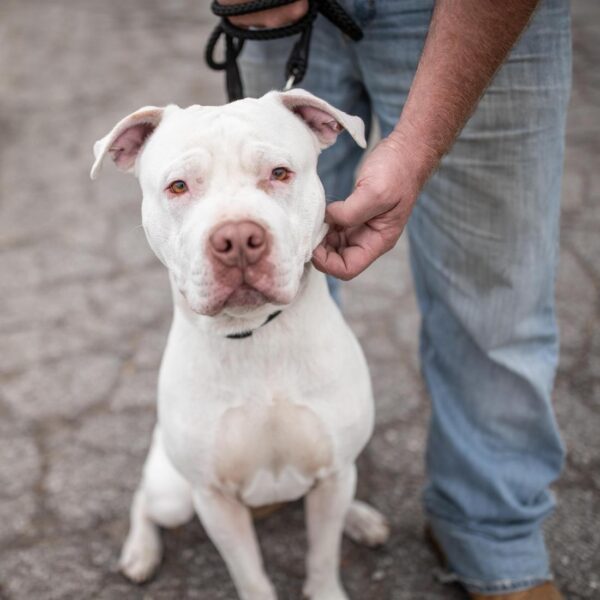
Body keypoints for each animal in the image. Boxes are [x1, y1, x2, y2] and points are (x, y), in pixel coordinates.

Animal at [89, 89, 390, 600]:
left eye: (279, 173)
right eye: (178, 187)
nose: (237, 239)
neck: (256, 335)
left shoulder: (332, 473)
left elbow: (323, 554)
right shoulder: (214, 500)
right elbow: (249, 573)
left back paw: (362, 519)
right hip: (175, 493)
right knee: (144, 500)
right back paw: (140, 552)